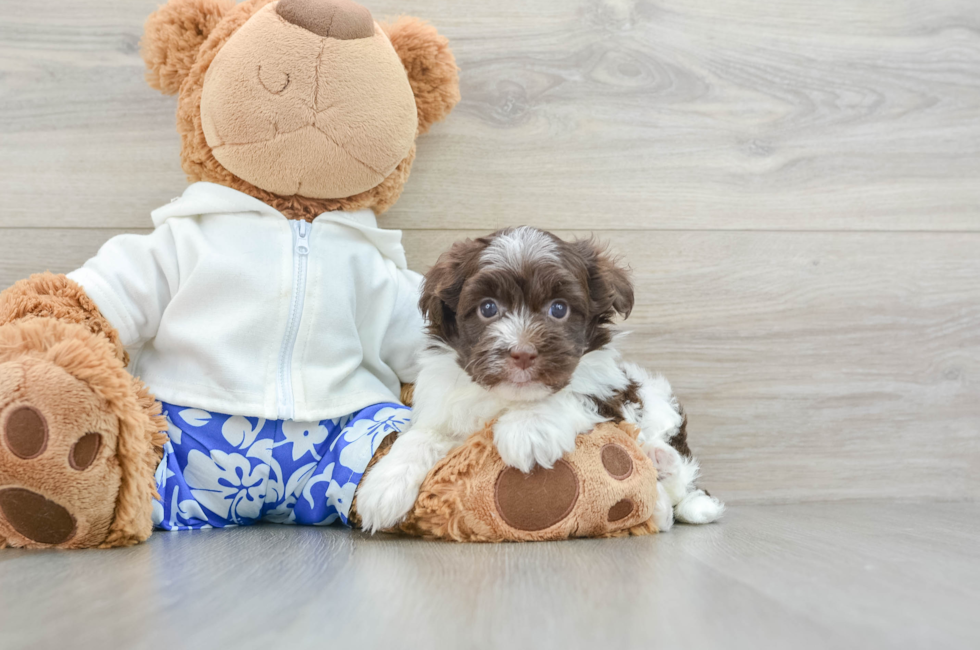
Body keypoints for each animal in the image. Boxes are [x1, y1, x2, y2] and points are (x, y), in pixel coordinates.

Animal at [356, 228, 724, 532]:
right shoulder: (443, 405)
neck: (508, 399)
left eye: (558, 309)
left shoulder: (609, 393)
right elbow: (421, 436)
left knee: (681, 482)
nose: (522, 353)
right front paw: (384, 484)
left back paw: (666, 470)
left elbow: (573, 393)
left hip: (657, 405)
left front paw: (528, 428)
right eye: (488, 308)